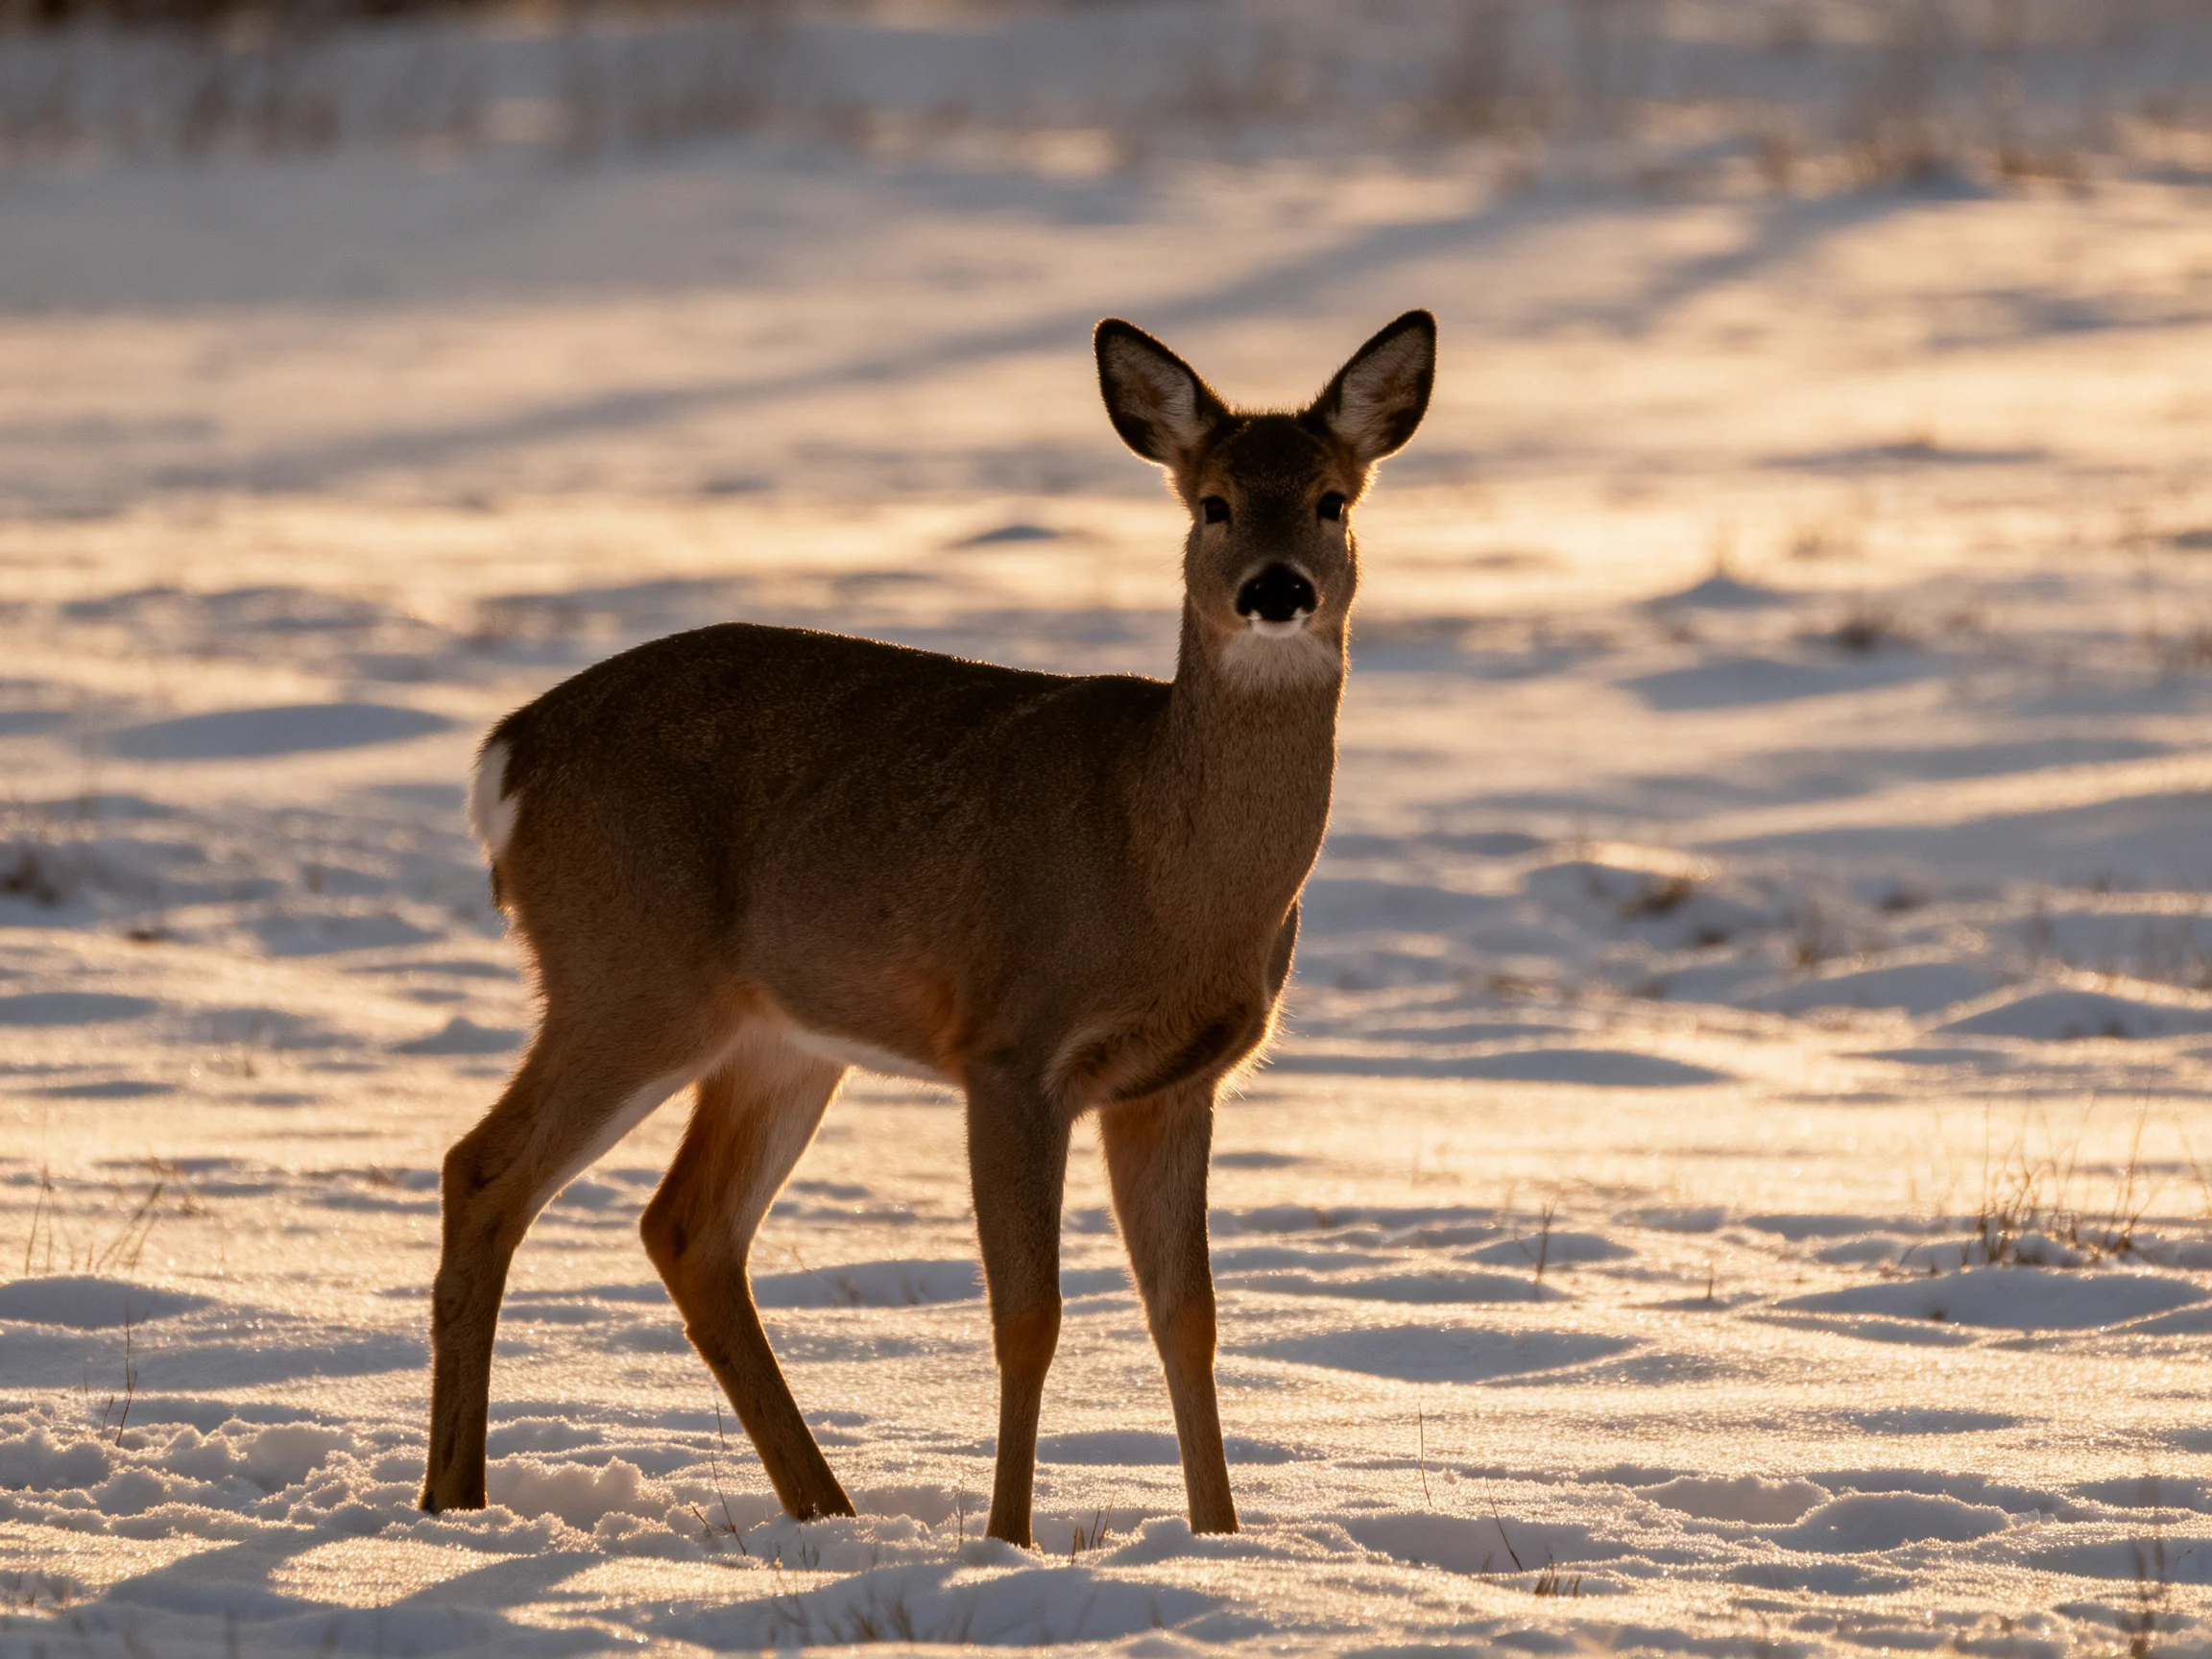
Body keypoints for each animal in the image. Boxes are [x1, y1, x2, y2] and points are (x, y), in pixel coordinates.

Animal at [419, 309, 1436, 1546]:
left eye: (1334, 499)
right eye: (1212, 504)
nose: (1277, 589)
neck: (1160, 868)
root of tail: (507, 756)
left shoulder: (1174, 1083)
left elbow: (1187, 1317)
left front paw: (1220, 1543)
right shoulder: (1012, 1051)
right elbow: (1029, 1315)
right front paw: (1010, 1540)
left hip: (778, 1037)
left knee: (687, 1229)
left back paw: (824, 1511)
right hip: (627, 972)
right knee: (482, 1171)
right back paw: (454, 1500)